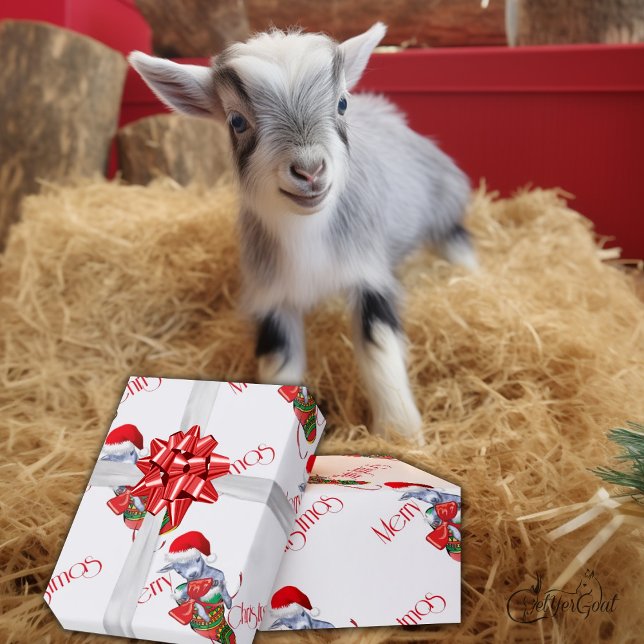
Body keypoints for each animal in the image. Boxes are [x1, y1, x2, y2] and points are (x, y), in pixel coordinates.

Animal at [129, 23, 476, 443]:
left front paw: (401, 435)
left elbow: (379, 347)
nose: (310, 171)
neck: (306, 229)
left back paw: (473, 279)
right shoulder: (271, 295)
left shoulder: (368, 272)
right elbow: (280, 364)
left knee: (457, 239)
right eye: (236, 121)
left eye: (341, 104)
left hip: (443, 200)